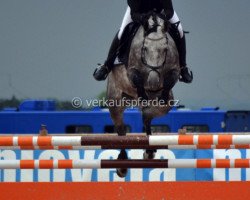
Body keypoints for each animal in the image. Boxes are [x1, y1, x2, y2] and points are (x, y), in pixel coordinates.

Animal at [106, 12, 181, 177]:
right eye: (144, 48)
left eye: (165, 49)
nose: (153, 83)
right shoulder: (132, 71)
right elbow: (137, 80)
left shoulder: (169, 87)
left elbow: (149, 113)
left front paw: (149, 151)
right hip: (115, 100)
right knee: (121, 130)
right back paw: (122, 165)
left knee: (146, 117)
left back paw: (149, 151)